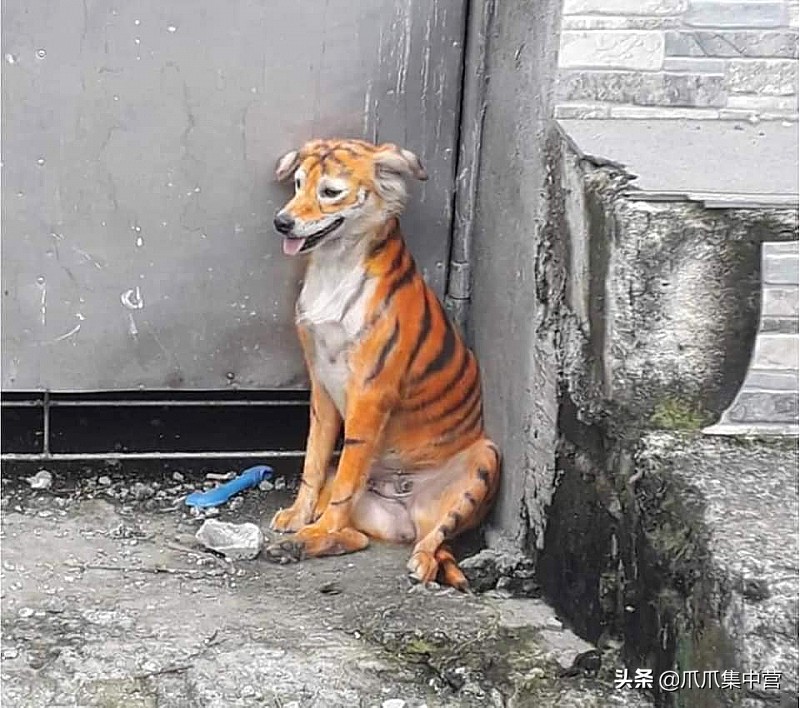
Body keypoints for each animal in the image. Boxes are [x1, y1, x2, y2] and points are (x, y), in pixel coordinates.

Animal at [265, 138, 500, 590]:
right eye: (299, 183)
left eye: (330, 192)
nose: (281, 223)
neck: (335, 266)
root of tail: (407, 509)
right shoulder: (321, 386)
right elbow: (313, 462)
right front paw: (299, 519)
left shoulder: (370, 393)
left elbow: (345, 482)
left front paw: (315, 527)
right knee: (356, 538)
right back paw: (296, 545)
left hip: (485, 459)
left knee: (433, 542)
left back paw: (417, 563)